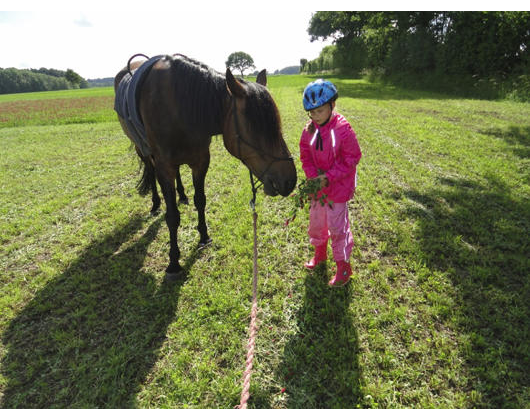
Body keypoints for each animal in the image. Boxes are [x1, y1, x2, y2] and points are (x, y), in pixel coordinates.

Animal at [115, 55, 294, 278]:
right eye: (256, 130)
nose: (290, 180)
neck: (180, 107)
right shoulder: (165, 166)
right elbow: (172, 216)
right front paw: (174, 261)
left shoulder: (200, 161)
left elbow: (200, 200)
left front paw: (204, 236)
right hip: (143, 150)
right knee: (151, 172)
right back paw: (156, 204)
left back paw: (182, 195)